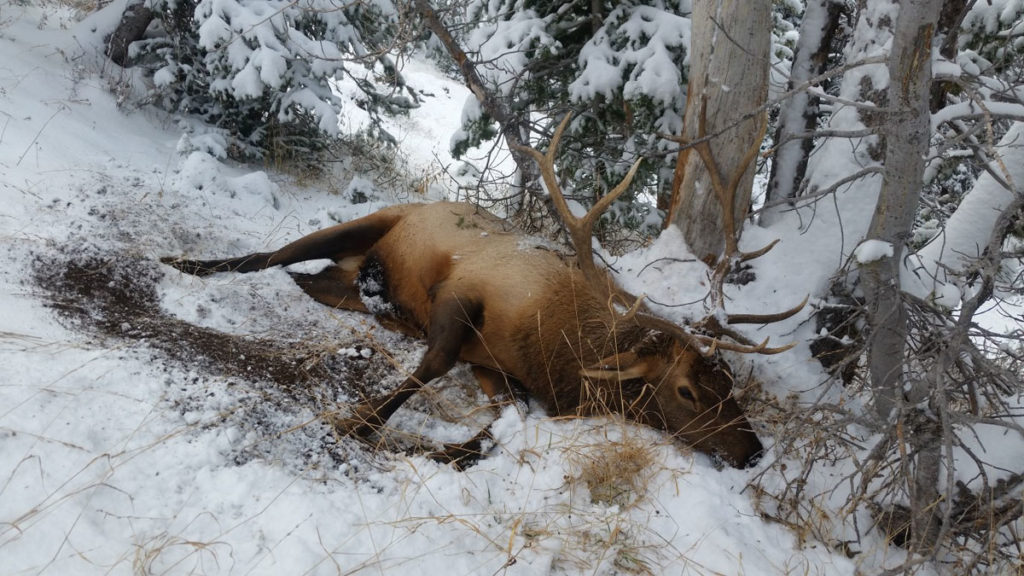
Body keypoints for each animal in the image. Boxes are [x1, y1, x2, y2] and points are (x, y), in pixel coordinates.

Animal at [161, 115, 798, 467]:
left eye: (728, 383)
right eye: (687, 390)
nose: (753, 451)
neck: (553, 354)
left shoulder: (494, 368)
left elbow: (502, 425)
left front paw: (449, 450)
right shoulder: (464, 295)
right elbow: (432, 365)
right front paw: (359, 422)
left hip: (342, 286)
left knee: (304, 279)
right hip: (368, 223)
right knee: (266, 256)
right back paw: (182, 263)